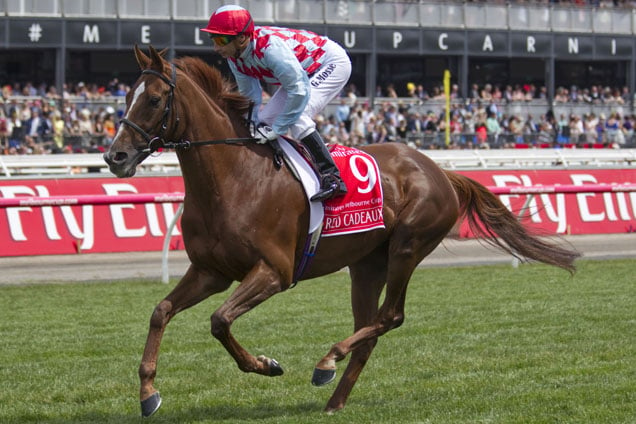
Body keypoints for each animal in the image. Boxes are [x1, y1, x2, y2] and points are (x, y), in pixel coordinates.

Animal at [102, 44, 580, 416]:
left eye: (155, 99)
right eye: (127, 96)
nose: (115, 156)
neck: (235, 177)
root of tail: (439, 170)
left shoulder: (274, 272)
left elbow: (219, 321)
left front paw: (266, 364)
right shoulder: (211, 271)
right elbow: (161, 311)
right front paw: (148, 393)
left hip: (408, 246)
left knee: (390, 317)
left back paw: (327, 361)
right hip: (366, 264)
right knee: (370, 328)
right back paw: (335, 399)